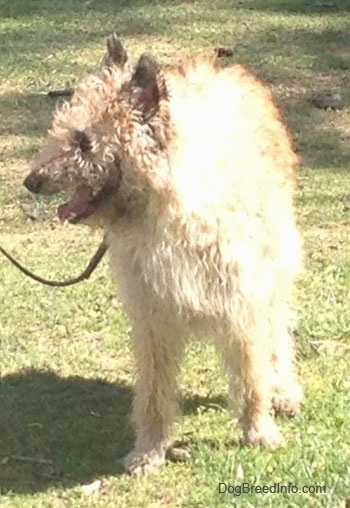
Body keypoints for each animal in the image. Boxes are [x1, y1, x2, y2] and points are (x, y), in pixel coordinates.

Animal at [23, 37, 302, 474]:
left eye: (85, 141)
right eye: (61, 128)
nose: (30, 181)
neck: (168, 208)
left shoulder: (243, 303)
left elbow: (251, 374)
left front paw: (258, 430)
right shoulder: (153, 316)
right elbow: (153, 392)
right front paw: (149, 450)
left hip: (277, 260)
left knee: (278, 329)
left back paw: (284, 389)